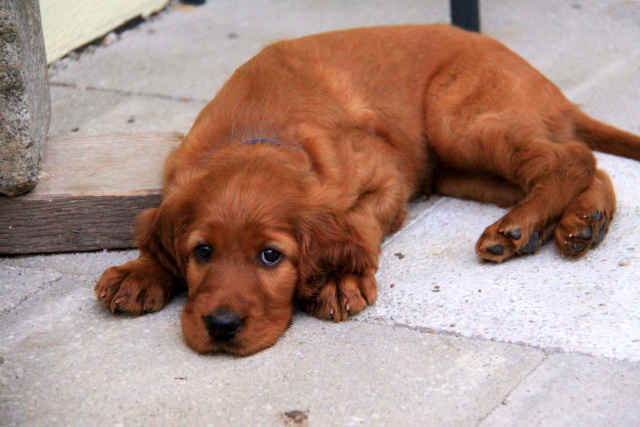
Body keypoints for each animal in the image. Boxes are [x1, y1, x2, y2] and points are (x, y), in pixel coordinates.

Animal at [95, 25, 640, 356]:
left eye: (271, 257)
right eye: (202, 252)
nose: (221, 327)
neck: (255, 131)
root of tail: (551, 88)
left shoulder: (388, 176)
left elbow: (356, 223)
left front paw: (340, 280)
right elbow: (156, 226)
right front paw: (139, 271)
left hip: (455, 121)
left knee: (571, 156)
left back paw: (519, 228)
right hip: (458, 168)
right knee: (587, 166)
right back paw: (582, 224)